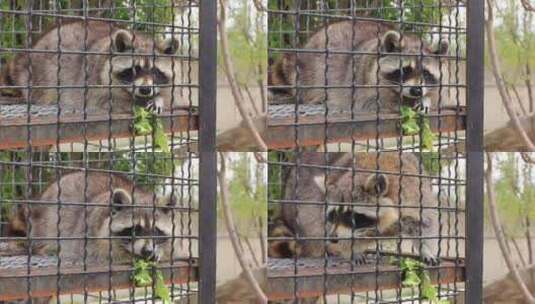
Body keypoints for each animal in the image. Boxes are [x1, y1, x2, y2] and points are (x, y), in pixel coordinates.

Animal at [1, 20, 186, 114]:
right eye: (134, 70)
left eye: (155, 71)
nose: (145, 90)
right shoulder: (92, 82)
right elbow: (105, 100)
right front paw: (137, 102)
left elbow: (173, 97)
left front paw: (158, 98)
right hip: (42, 69)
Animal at [7, 171, 189, 264]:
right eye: (135, 230)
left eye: (156, 231)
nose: (147, 251)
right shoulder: (88, 236)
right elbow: (99, 255)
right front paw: (128, 255)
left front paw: (160, 252)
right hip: (48, 218)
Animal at [270, 20, 450, 113]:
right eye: (405, 70)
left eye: (426, 73)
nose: (416, 91)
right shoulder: (361, 85)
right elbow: (372, 102)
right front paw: (401, 103)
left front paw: (425, 99)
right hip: (310, 68)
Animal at [276, 153, 440, 264]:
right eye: (333, 215)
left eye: (351, 215)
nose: (333, 238)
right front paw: (351, 251)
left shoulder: (416, 196)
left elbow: (426, 223)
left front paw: (425, 249)